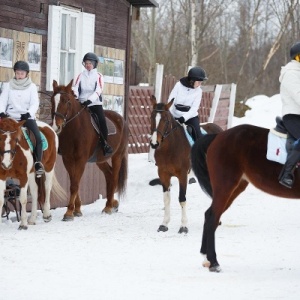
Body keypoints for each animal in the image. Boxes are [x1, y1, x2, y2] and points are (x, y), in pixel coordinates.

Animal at [51, 79, 128, 220]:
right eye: (52, 100)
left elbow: (75, 184)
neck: (75, 129)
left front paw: (69, 212)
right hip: (100, 160)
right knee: (109, 175)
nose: (56, 126)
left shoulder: (81, 160)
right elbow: (73, 182)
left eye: (67, 101)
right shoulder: (67, 159)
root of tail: (121, 119)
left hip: (117, 156)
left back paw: (109, 207)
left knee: (114, 177)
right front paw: (77, 210)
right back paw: (112, 203)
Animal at [149, 96, 223, 234]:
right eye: (151, 117)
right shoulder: (163, 174)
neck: (170, 148)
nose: (154, 143)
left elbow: (182, 199)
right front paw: (164, 224)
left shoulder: (182, 175)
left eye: (166, 120)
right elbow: (166, 199)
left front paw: (183, 226)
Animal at [191, 123, 300, 274]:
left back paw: (205, 257)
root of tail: (218, 136)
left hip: (235, 187)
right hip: (225, 186)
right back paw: (213, 262)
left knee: (209, 214)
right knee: (213, 218)